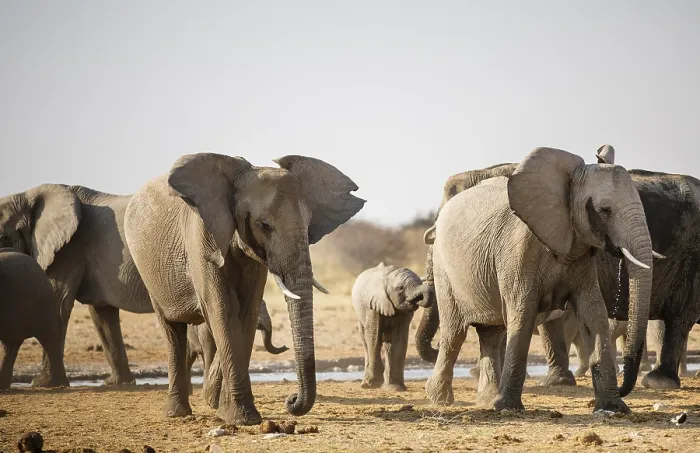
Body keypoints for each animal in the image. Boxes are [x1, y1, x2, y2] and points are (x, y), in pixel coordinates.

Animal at [123, 152, 365, 425]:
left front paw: (231, 413)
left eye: (308, 224)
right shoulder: (203, 237)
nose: (291, 400)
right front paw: (243, 419)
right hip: (149, 274)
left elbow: (246, 314)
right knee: (172, 331)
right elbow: (222, 311)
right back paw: (177, 413)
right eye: (264, 225)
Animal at [351, 262, 434, 391]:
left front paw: (395, 388)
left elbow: (399, 340)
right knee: (366, 341)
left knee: (388, 344)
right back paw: (366, 385)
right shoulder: (372, 305)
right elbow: (374, 337)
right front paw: (374, 384)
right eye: (400, 288)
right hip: (360, 316)